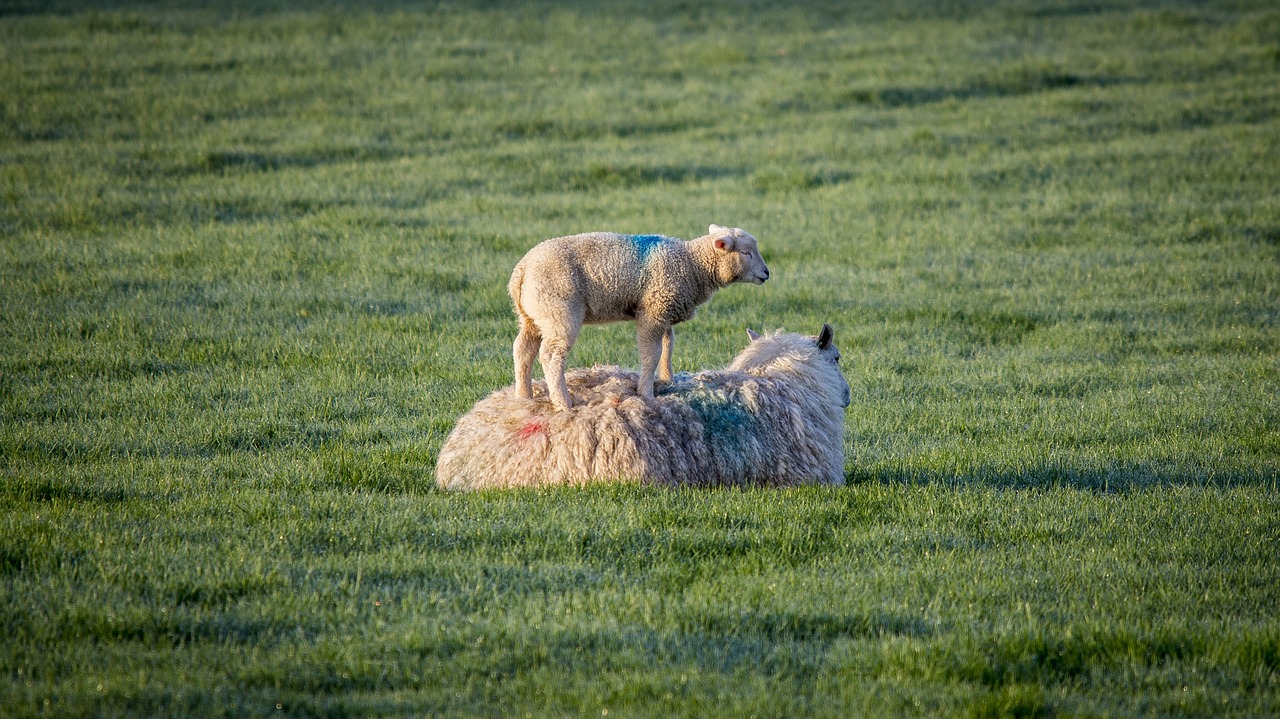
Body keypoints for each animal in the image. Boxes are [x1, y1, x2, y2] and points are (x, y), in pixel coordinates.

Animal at [509, 221, 768, 409]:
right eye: (745, 252)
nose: (766, 273)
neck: (693, 265)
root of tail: (521, 271)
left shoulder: (664, 309)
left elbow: (668, 346)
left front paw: (668, 379)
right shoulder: (653, 312)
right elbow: (651, 354)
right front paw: (647, 393)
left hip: (533, 316)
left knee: (522, 349)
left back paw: (524, 395)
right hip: (560, 312)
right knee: (550, 356)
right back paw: (562, 402)